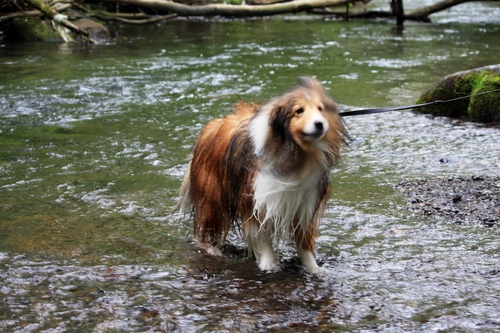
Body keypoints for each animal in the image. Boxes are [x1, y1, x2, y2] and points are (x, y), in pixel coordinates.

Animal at [181, 77, 348, 270]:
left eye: (320, 109)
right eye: (299, 110)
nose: (320, 124)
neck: (297, 155)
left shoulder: (306, 206)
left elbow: (304, 242)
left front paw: (313, 268)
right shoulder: (254, 200)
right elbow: (261, 236)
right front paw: (269, 264)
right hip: (211, 197)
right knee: (208, 225)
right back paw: (211, 249)